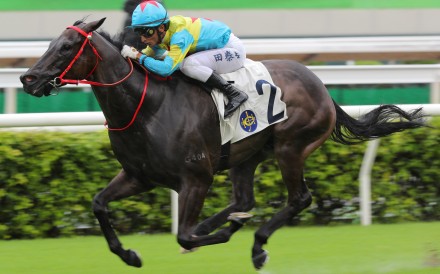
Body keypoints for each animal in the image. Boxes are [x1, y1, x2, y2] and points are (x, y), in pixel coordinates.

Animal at [18, 18, 426, 270]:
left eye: (67, 46)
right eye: (51, 43)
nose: (27, 78)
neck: (147, 106)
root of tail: (322, 87)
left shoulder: (196, 178)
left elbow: (183, 234)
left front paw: (218, 234)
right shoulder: (139, 176)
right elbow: (99, 204)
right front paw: (130, 254)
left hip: (291, 148)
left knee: (298, 199)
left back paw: (256, 244)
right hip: (247, 155)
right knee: (244, 200)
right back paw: (227, 223)